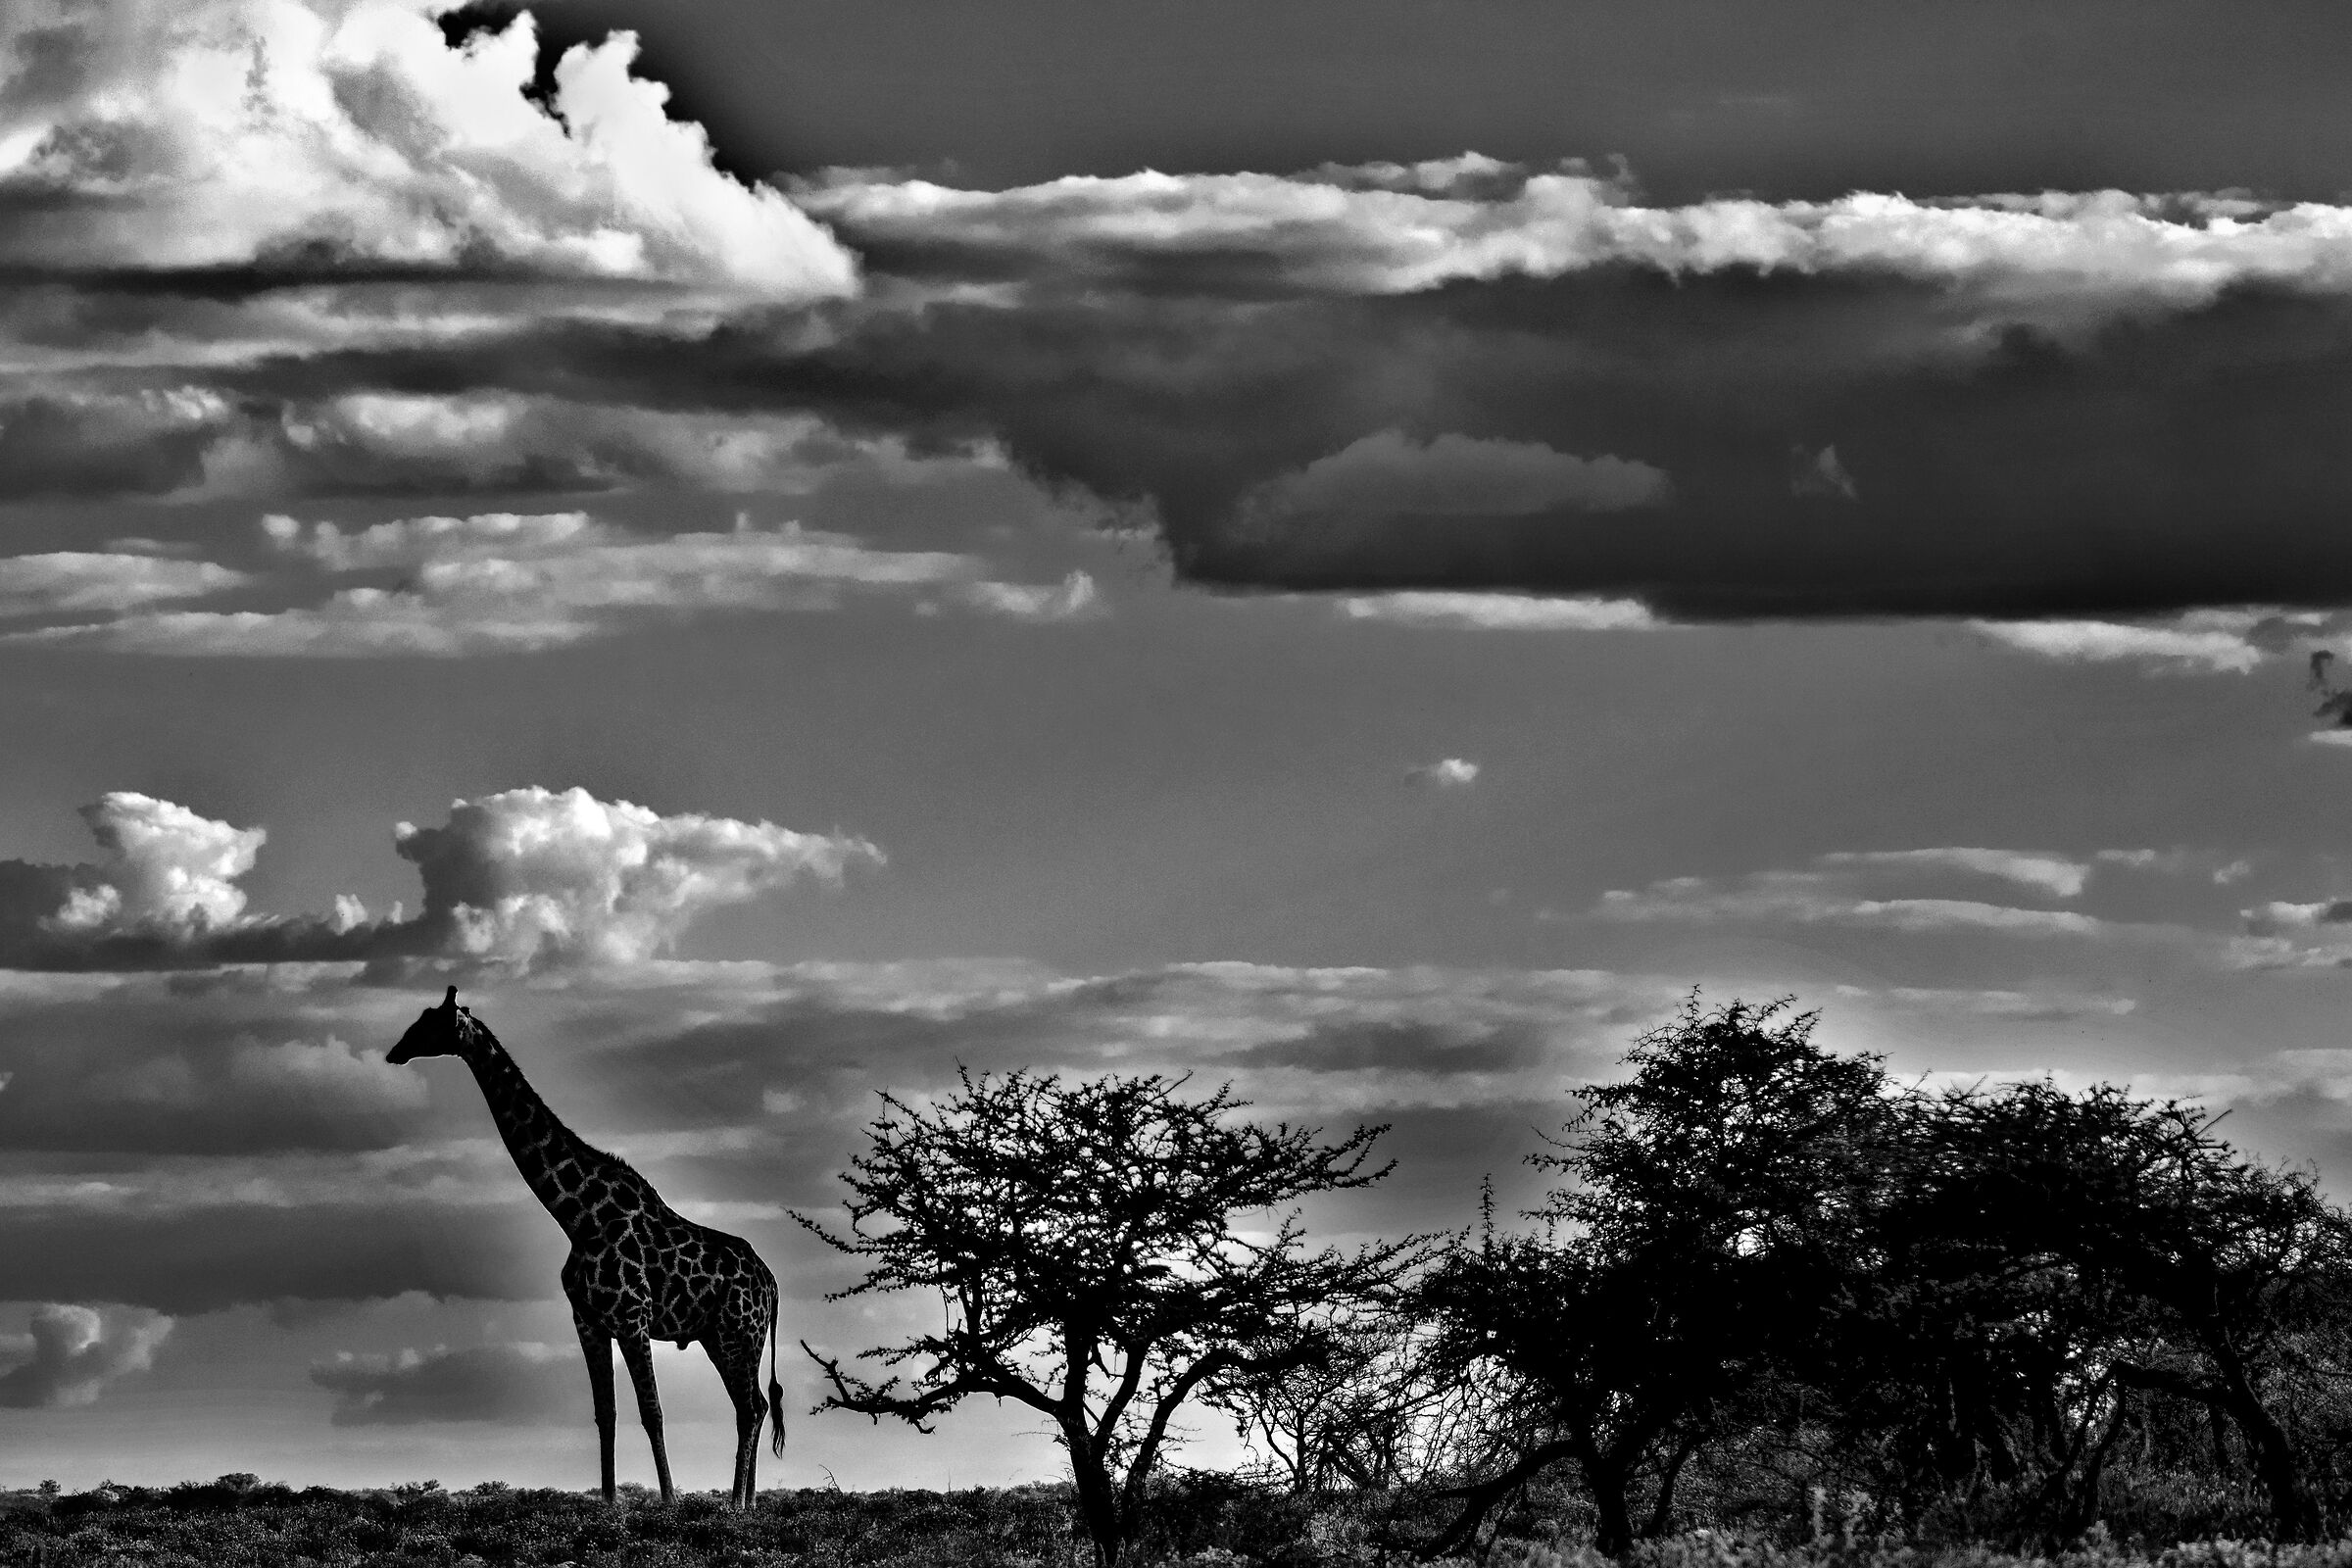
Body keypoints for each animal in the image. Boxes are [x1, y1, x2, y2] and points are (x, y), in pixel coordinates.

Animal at [388, 987, 786, 1508]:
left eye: (430, 1024)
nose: (395, 1052)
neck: (577, 1217)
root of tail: (773, 1284)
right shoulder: (588, 1321)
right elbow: (606, 1415)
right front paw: (611, 1503)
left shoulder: (632, 1318)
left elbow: (652, 1412)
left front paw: (669, 1503)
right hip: (720, 1336)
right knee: (753, 1404)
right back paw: (745, 1503)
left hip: (740, 1332)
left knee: (751, 1406)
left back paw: (737, 1503)